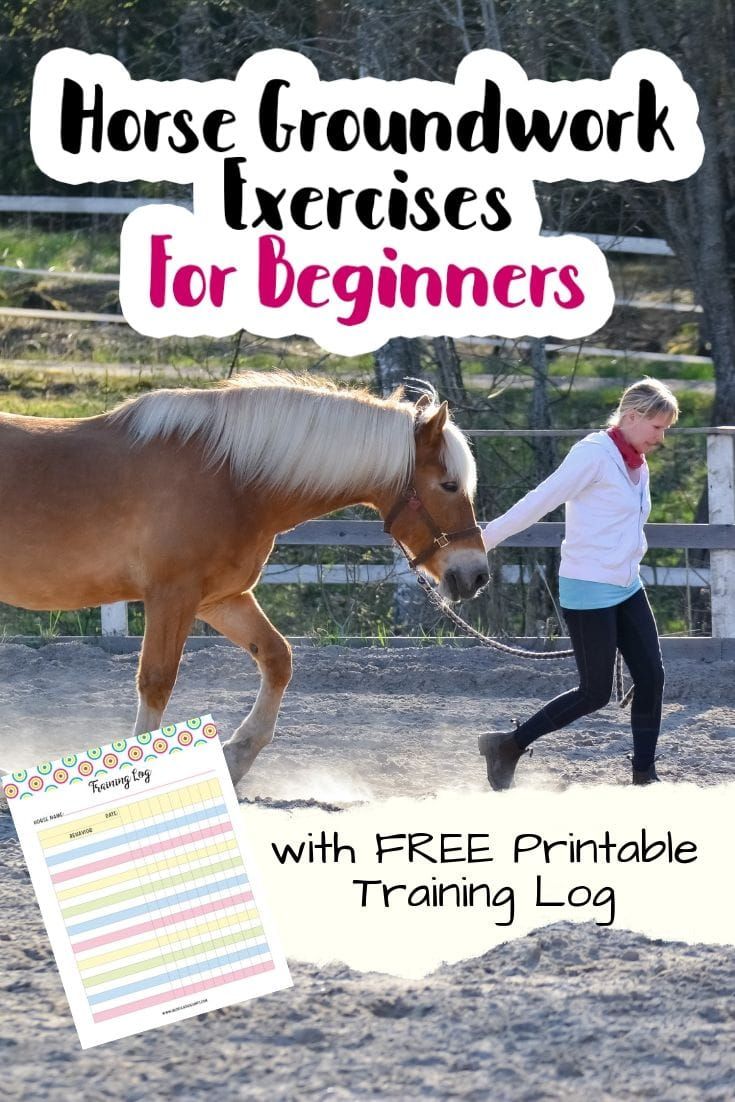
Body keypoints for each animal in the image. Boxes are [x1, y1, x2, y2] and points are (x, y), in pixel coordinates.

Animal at [0, 372, 489, 784]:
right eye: (448, 485)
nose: (476, 575)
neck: (233, 478)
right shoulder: (172, 596)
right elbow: (157, 681)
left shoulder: (220, 598)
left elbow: (277, 657)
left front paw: (237, 755)